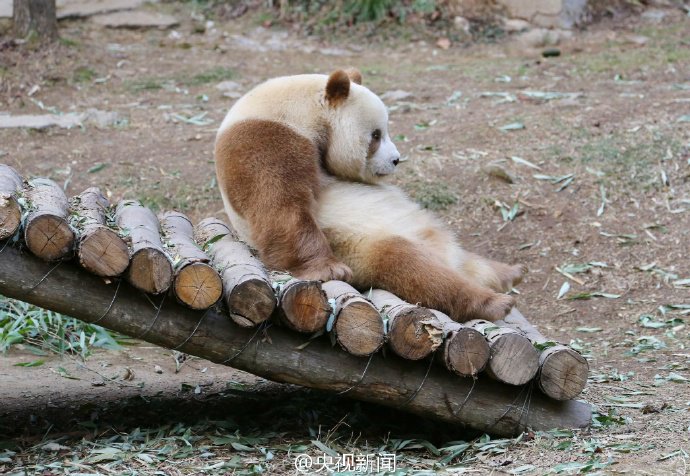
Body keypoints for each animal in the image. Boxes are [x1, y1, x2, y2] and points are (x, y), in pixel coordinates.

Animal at [214, 69, 525, 322]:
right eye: (376, 135)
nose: (396, 160)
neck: (299, 109)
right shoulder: (266, 138)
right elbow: (282, 206)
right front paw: (330, 271)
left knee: (467, 262)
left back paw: (508, 273)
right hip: (361, 246)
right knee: (414, 267)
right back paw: (494, 302)